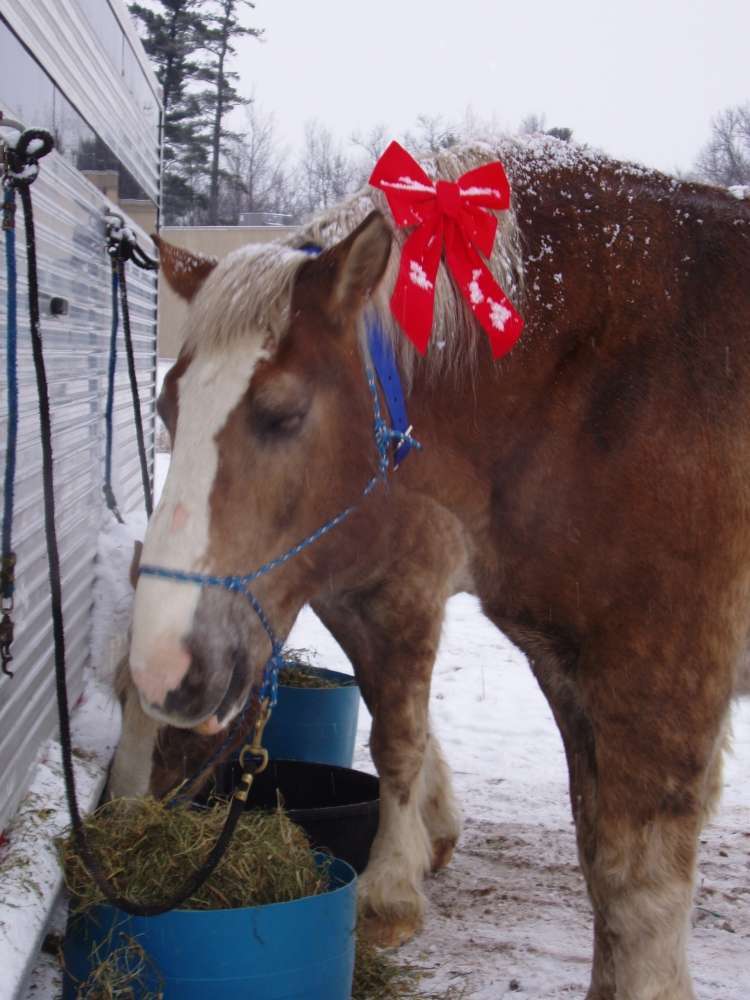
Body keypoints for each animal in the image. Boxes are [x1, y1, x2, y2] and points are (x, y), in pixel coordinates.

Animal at [125, 135, 750, 1000]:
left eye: (284, 414)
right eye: (166, 408)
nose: (163, 669)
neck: (604, 388)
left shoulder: (656, 687)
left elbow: (634, 893)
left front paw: (390, 892)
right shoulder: (559, 671)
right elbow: (596, 869)